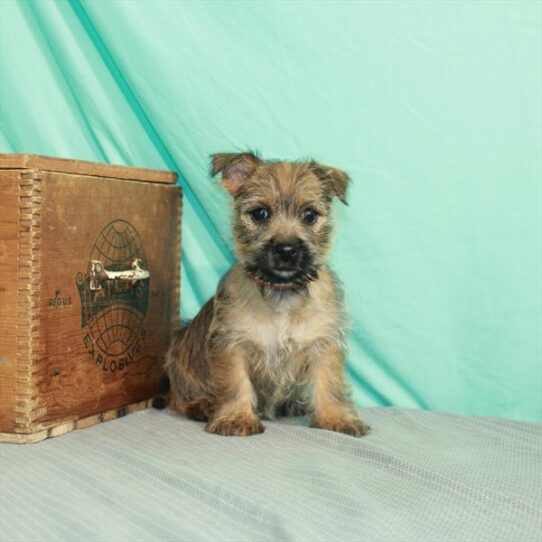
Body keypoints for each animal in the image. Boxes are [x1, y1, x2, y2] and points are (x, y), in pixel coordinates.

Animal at [164, 152, 372, 438]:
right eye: (260, 213)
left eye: (309, 215)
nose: (286, 250)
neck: (282, 292)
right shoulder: (232, 343)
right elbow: (235, 382)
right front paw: (236, 417)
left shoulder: (324, 342)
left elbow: (330, 383)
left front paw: (336, 417)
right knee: (179, 399)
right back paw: (203, 406)